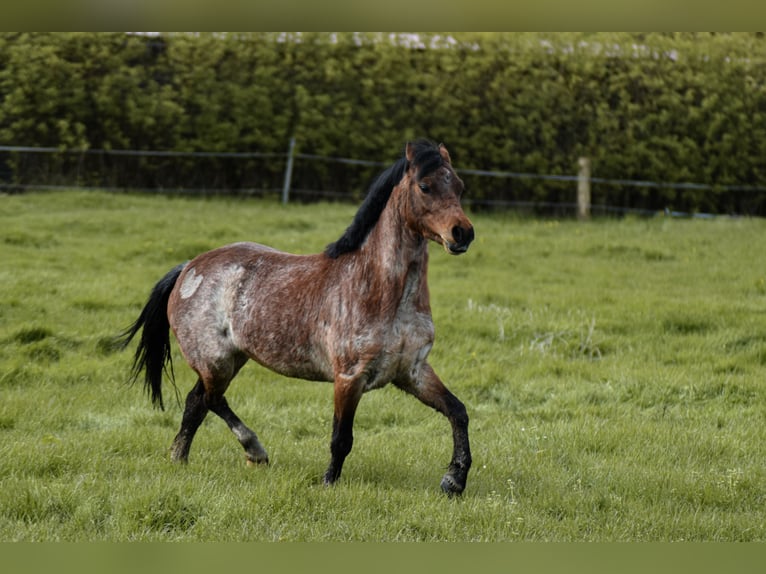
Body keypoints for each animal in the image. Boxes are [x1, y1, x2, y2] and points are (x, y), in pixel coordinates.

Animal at [118, 139, 474, 495]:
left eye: (459, 186)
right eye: (425, 186)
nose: (462, 233)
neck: (381, 293)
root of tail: (188, 268)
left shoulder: (412, 371)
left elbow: (458, 411)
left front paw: (454, 481)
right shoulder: (349, 377)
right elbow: (341, 438)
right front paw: (328, 483)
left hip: (232, 358)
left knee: (197, 402)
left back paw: (180, 458)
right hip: (215, 361)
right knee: (211, 398)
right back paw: (254, 451)